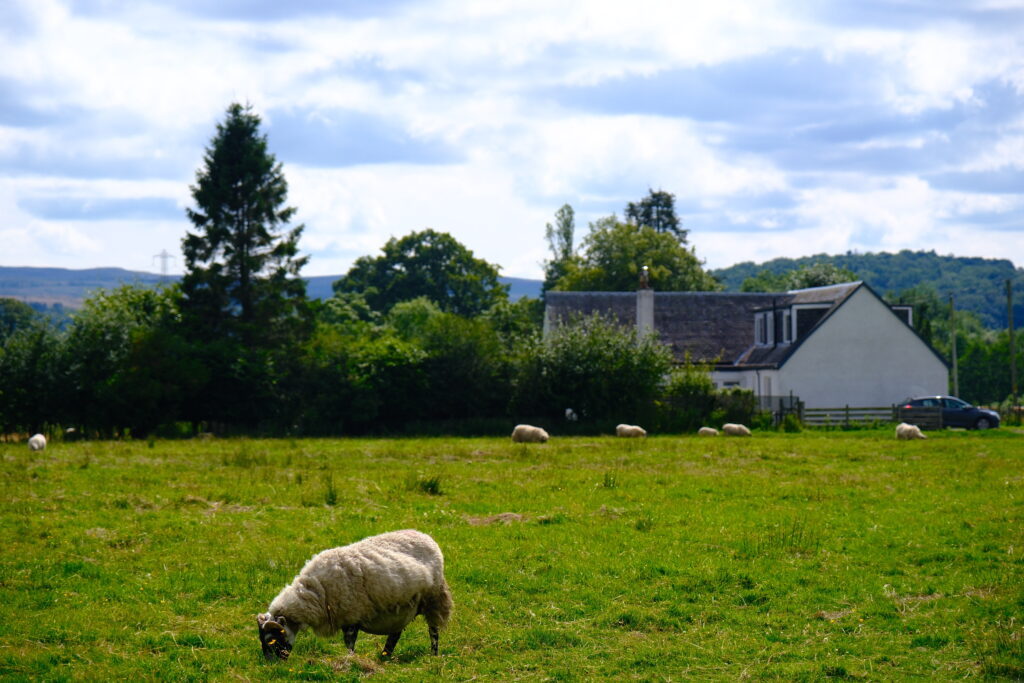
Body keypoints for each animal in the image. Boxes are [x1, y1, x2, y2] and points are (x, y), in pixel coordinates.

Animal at [256, 528, 452, 663]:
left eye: (271, 639)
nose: (272, 665)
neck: (315, 592)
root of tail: (425, 536)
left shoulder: (351, 616)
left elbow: (349, 643)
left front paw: (350, 660)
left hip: (433, 599)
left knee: (433, 631)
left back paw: (433, 655)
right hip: (403, 608)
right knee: (395, 634)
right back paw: (385, 656)